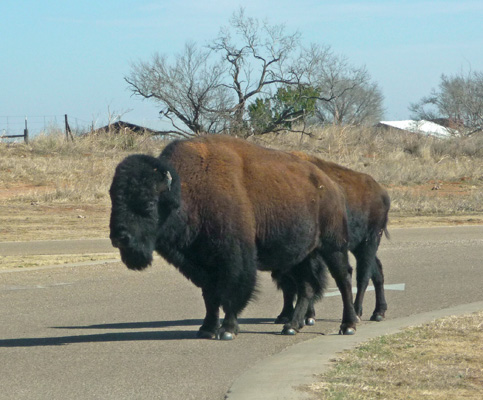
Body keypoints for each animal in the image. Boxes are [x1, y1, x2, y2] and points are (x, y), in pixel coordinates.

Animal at [109, 135, 360, 340]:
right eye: (114, 199)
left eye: (149, 204)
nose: (119, 237)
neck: (188, 190)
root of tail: (331, 185)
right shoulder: (201, 264)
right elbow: (210, 296)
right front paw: (206, 329)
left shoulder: (234, 258)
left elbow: (230, 292)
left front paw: (227, 330)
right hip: (302, 255)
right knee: (307, 286)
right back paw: (291, 326)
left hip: (333, 246)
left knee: (343, 279)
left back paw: (348, 325)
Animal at [274, 152, 392, 326]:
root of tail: (382, 192)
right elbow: (289, 285)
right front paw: (285, 315)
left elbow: (308, 281)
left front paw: (307, 316)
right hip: (358, 246)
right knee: (376, 271)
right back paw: (378, 312)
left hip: (370, 241)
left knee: (363, 276)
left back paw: (357, 312)